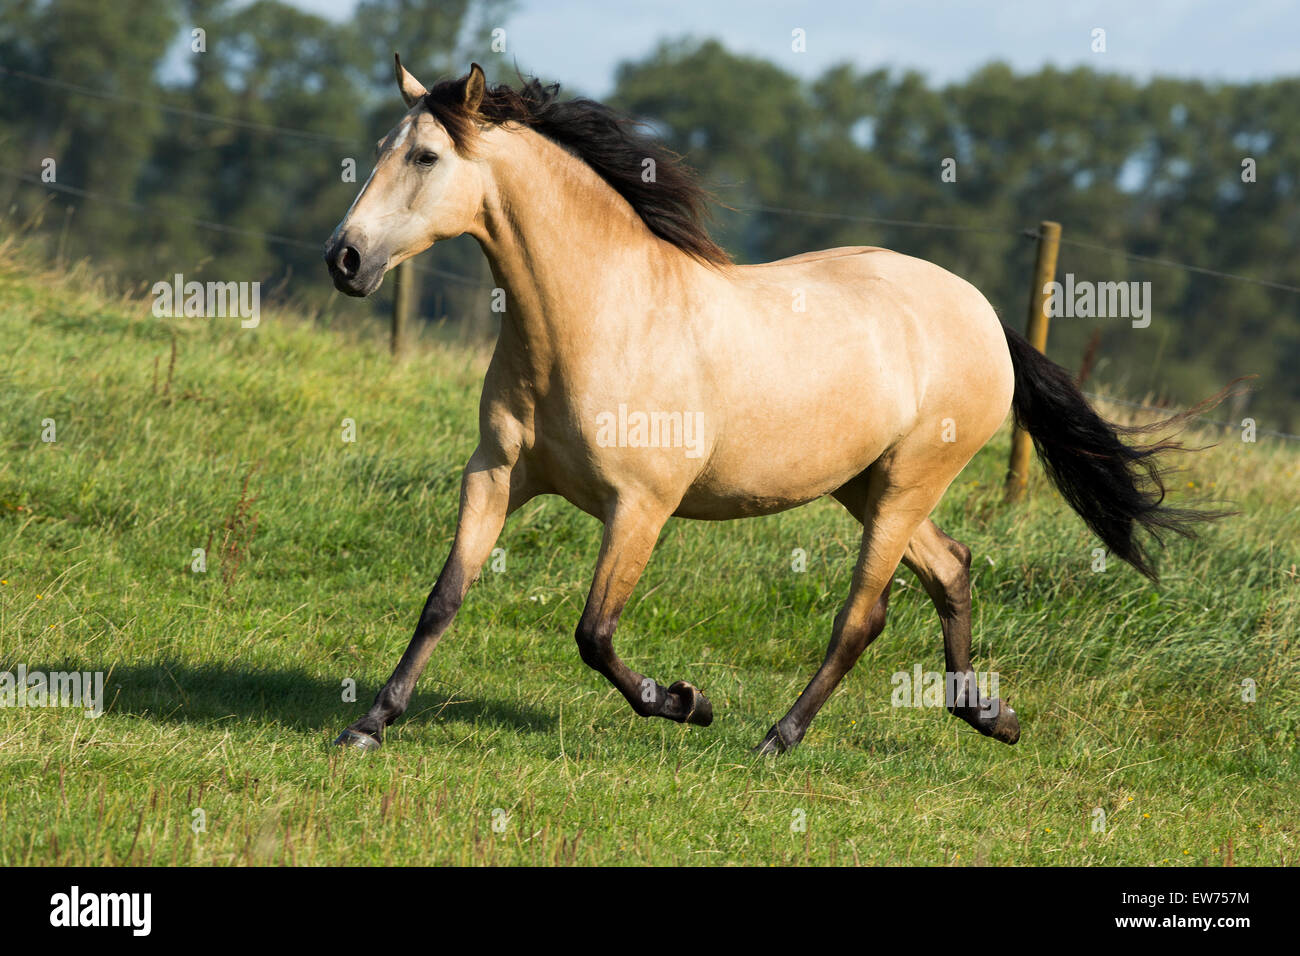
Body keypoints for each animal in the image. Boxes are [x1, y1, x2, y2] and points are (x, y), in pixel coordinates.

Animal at [322, 59, 1216, 759]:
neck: (599, 317)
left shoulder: (640, 508)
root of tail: (982, 313)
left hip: (907, 483)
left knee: (863, 614)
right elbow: (443, 599)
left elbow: (594, 634)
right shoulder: (497, 474)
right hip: (864, 484)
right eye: (382, 150)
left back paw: (777, 738)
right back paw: (990, 715)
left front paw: (687, 702)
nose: (345, 259)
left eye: (426, 155)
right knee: (951, 567)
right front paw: (368, 725)